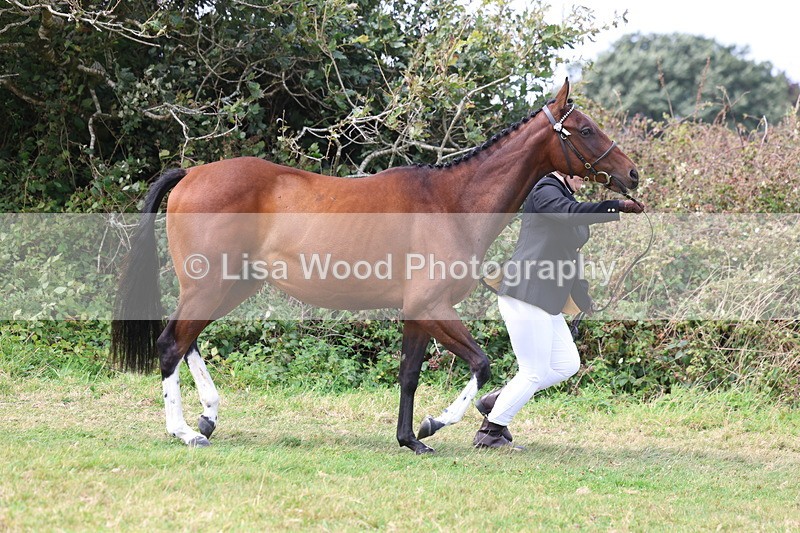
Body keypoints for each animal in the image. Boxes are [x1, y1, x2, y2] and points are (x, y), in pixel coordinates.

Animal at [111, 79, 639, 454]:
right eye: (586, 129)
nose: (632, 174)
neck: (450, 202)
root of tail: (192, 173)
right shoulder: (433, 306)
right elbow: (481, 364)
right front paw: (433, 424)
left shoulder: (419, 313)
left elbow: (409, 374)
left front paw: (410, 439)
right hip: (210, 286)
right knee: (170, 343)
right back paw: (185, 431)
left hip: (228, 287)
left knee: (188, 341)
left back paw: (208, 417)